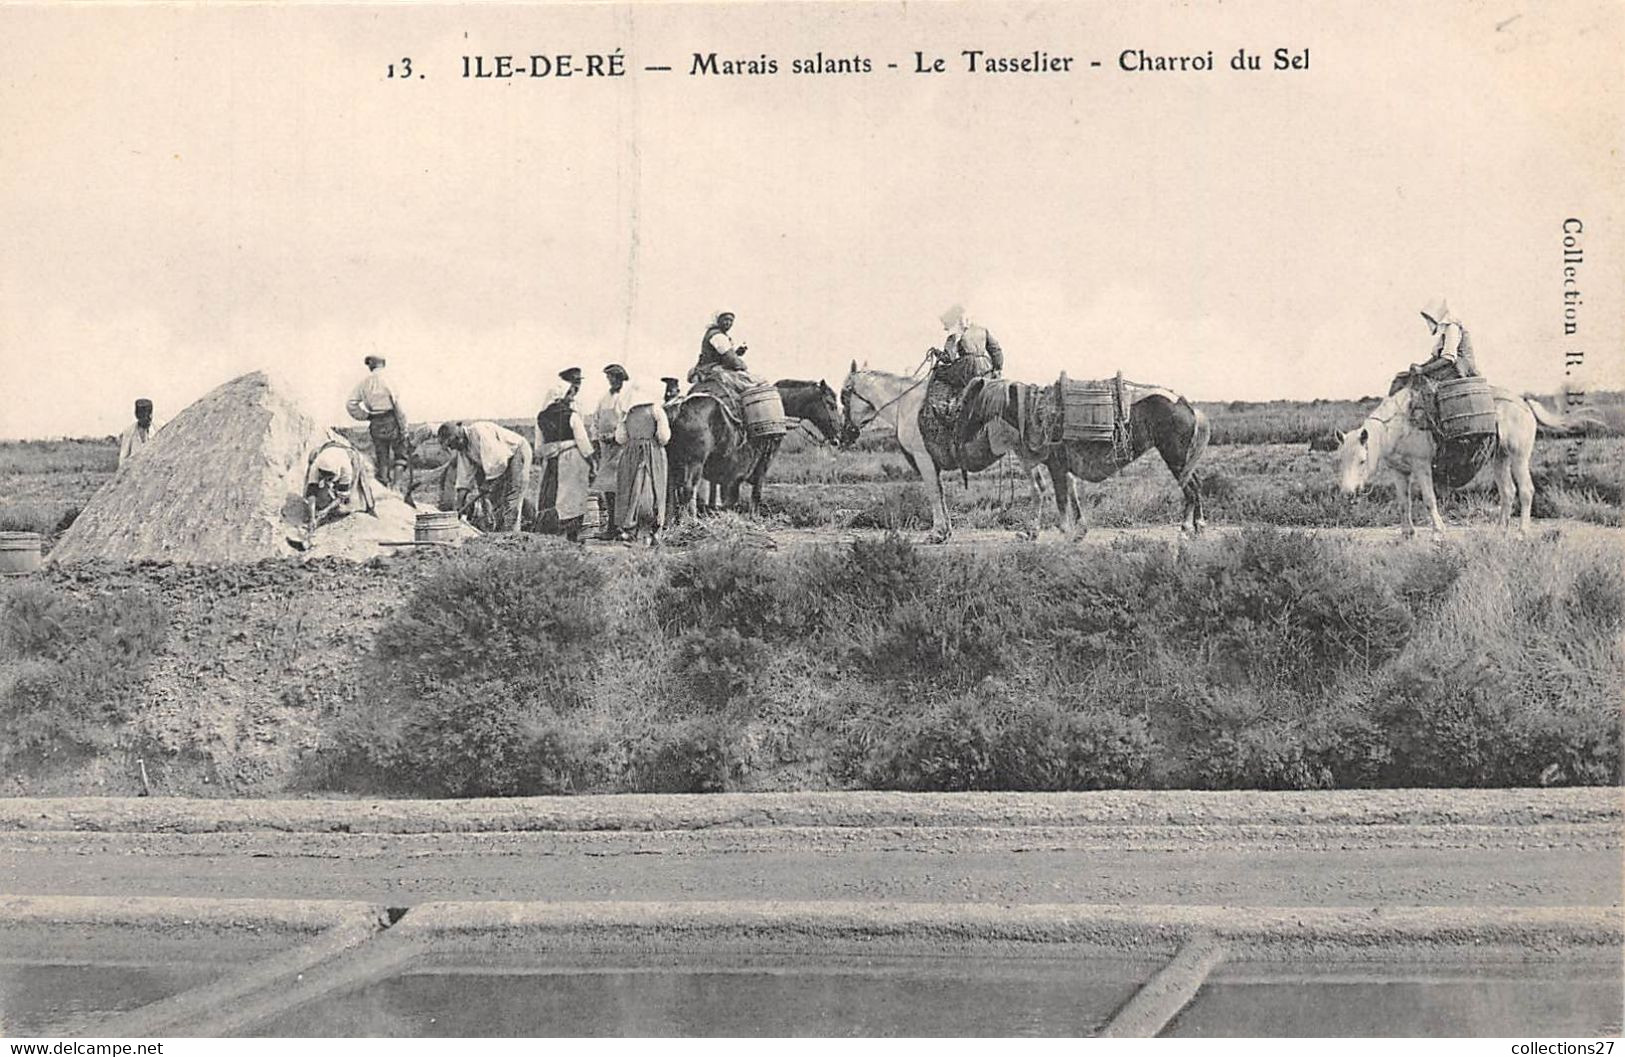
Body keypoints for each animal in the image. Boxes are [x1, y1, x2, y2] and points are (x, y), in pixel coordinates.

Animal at [666, 378, 838, 517]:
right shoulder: (763, 462)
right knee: (687, 490)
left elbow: (723, 496)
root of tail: (678, 408)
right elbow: (755, 493)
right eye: (831, 404)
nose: (837, 438)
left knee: (672, 492)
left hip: (674, 463)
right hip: (693, 464)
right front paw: (753, 517)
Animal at [1332, 382, 1599, 536]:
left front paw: (1438, 530)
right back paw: (1500, 530)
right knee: (1508, 492)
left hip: (1518, 456)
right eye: (1340, 460)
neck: (1399, 426)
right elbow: (1403, 502)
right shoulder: (1399, 471)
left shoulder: (1421, 467)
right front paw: (1407, 533)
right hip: (1500, 458)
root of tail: (1523, 403)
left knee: (1525, 491)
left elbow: (1429, 500)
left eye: (1362, 460)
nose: (1347, 493)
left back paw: (1522, 531)